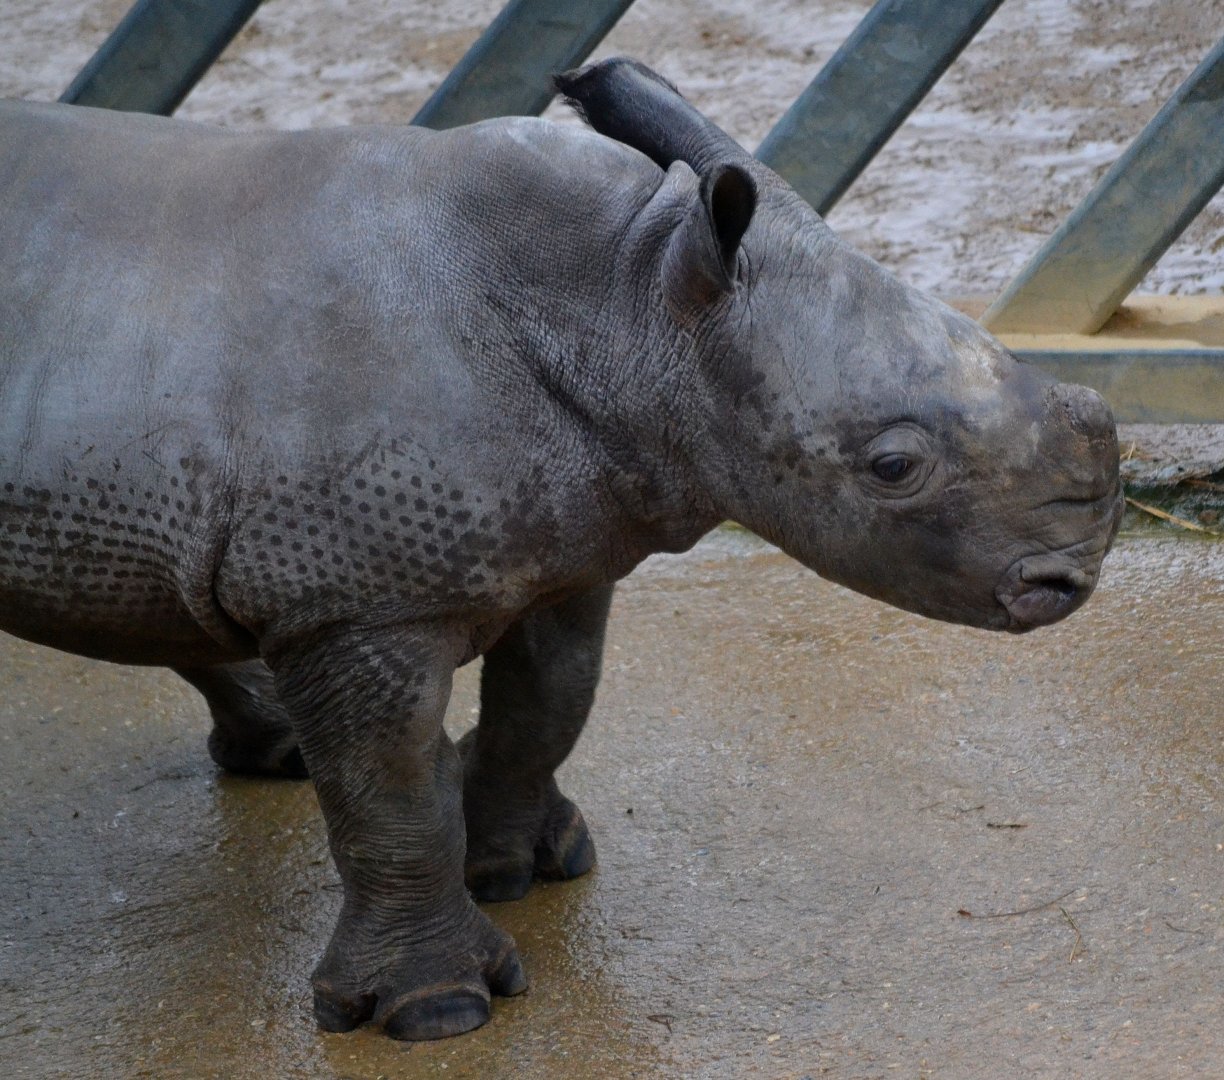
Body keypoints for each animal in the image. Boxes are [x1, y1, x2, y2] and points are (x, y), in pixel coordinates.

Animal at [0, 58, 1121, 1040]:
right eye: (893, 466)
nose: (1068, 582)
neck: (627, 301)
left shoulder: (569, 535)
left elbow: (550, 702)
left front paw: (525, 867)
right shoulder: (355, 601)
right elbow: (387, 793)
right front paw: (436, 1011)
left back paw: (273, 747)